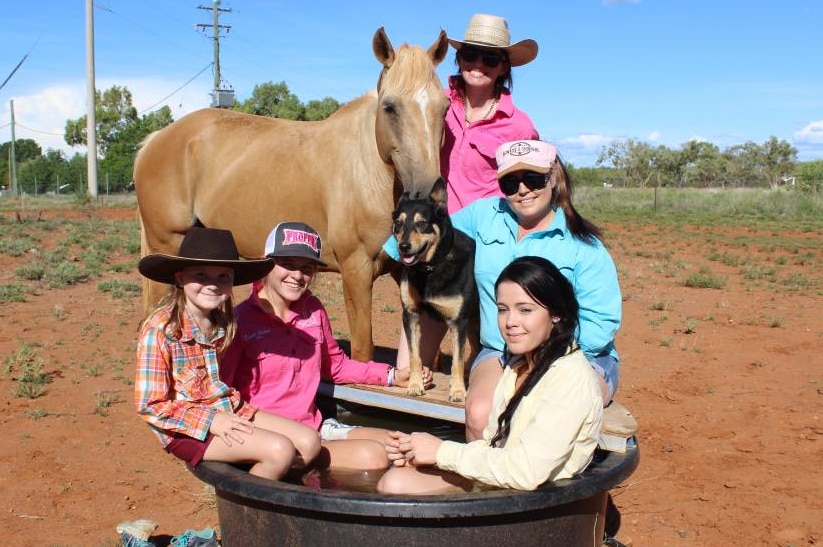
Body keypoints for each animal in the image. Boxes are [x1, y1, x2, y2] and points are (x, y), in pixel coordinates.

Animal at [134, 27, 450, 362]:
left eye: (444, 108)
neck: (368, 171)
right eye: (389, 107)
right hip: (167, 244)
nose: (428, 192)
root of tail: (156, 139)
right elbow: (363, 349)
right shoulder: (356, 270)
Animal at [392, 180, 480, 402]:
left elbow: (457, 360)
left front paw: (457, 391)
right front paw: (415, 385)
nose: (403, 246)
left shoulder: (458, 321)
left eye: (422, 223)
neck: (430, 268)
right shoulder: (411, 315)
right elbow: (414, 356)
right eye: (398, 223)